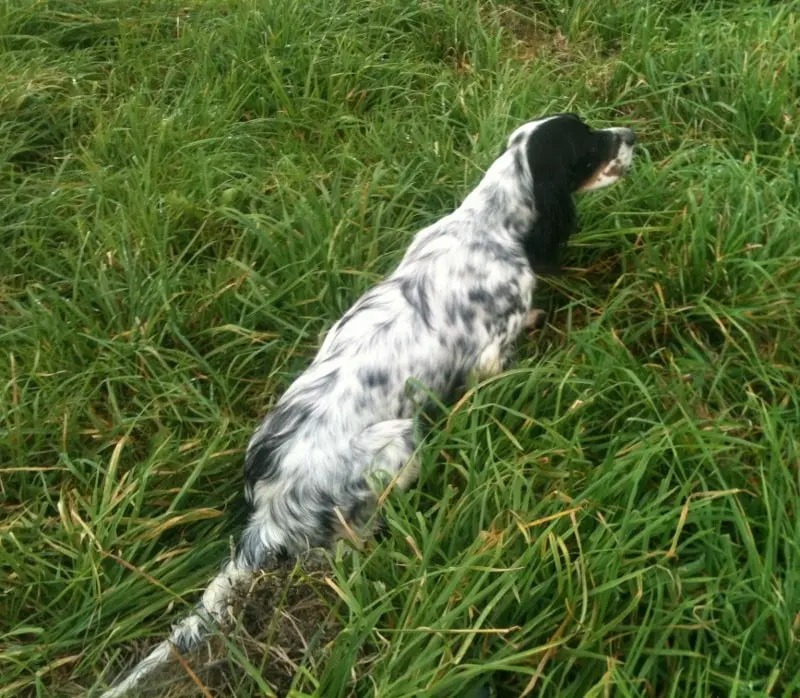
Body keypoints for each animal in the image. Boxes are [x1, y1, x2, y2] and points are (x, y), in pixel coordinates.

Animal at [98, 113, 635, 696]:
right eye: (589, 145)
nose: (631, 135)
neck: (489, 224)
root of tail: (270, 507)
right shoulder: (488, 360)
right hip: (398, 443)